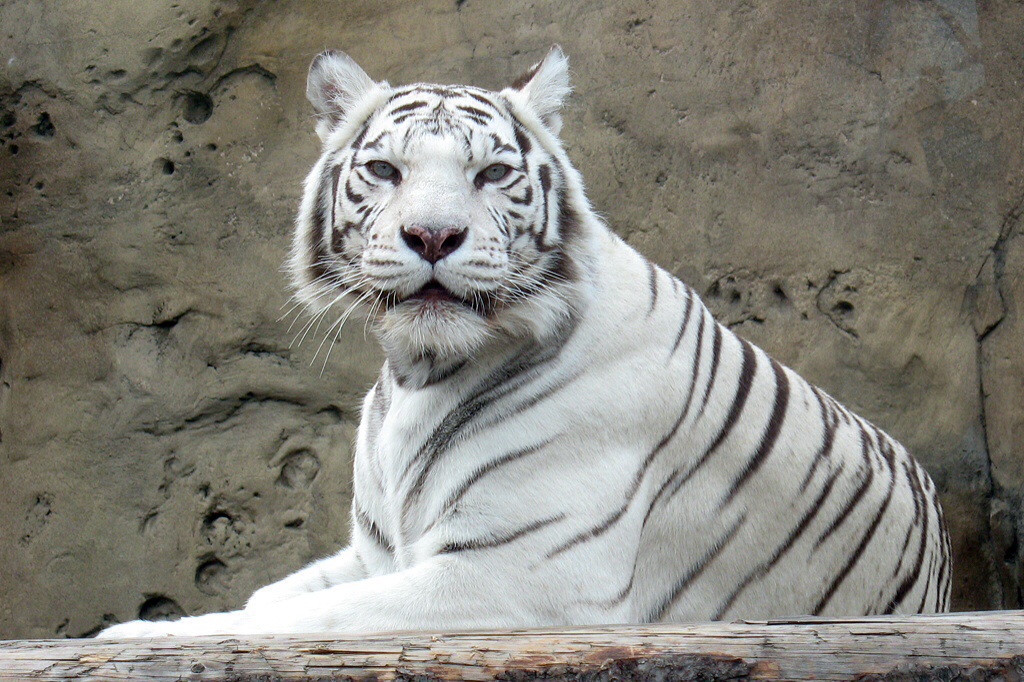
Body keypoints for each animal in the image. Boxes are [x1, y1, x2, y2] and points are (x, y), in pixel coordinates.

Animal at [101, 45, 950, 634]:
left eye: (491, 174)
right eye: (385, 169)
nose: (432, 235)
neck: (417, 369)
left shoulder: (518, 576)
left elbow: (282, 618)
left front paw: (137, 638)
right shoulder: (376, 555)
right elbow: (267, 594)